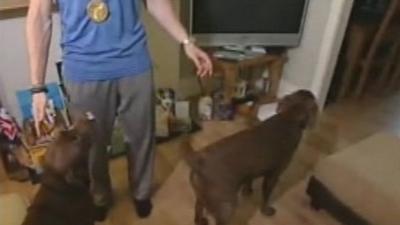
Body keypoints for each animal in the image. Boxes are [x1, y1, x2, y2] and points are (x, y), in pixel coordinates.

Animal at [184, 89, 318, 225]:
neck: (289, 116)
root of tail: (199, 161)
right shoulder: (273, 175)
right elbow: (266, 196)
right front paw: (266, 211)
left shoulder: (252, 171)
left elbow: (249, 180)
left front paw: (247, 191)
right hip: (227, 204)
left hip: (201, 195)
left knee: (198, 209)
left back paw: (201, 220)